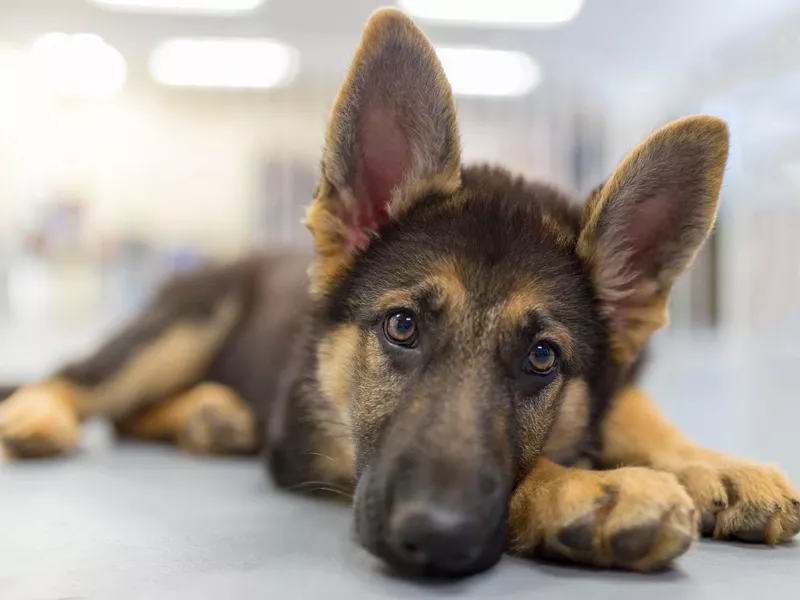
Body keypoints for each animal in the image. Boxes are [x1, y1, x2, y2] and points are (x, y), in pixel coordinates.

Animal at [1, 7, 800, 580]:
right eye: (403, 326)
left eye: (543, 358)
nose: (436, 537)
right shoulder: (316, 442)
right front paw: (588, 490)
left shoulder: (612, 379)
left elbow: (634, 409)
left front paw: (714, 465)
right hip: (187, 322)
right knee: (81, 382)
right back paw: (43, 414)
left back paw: (210, 415)